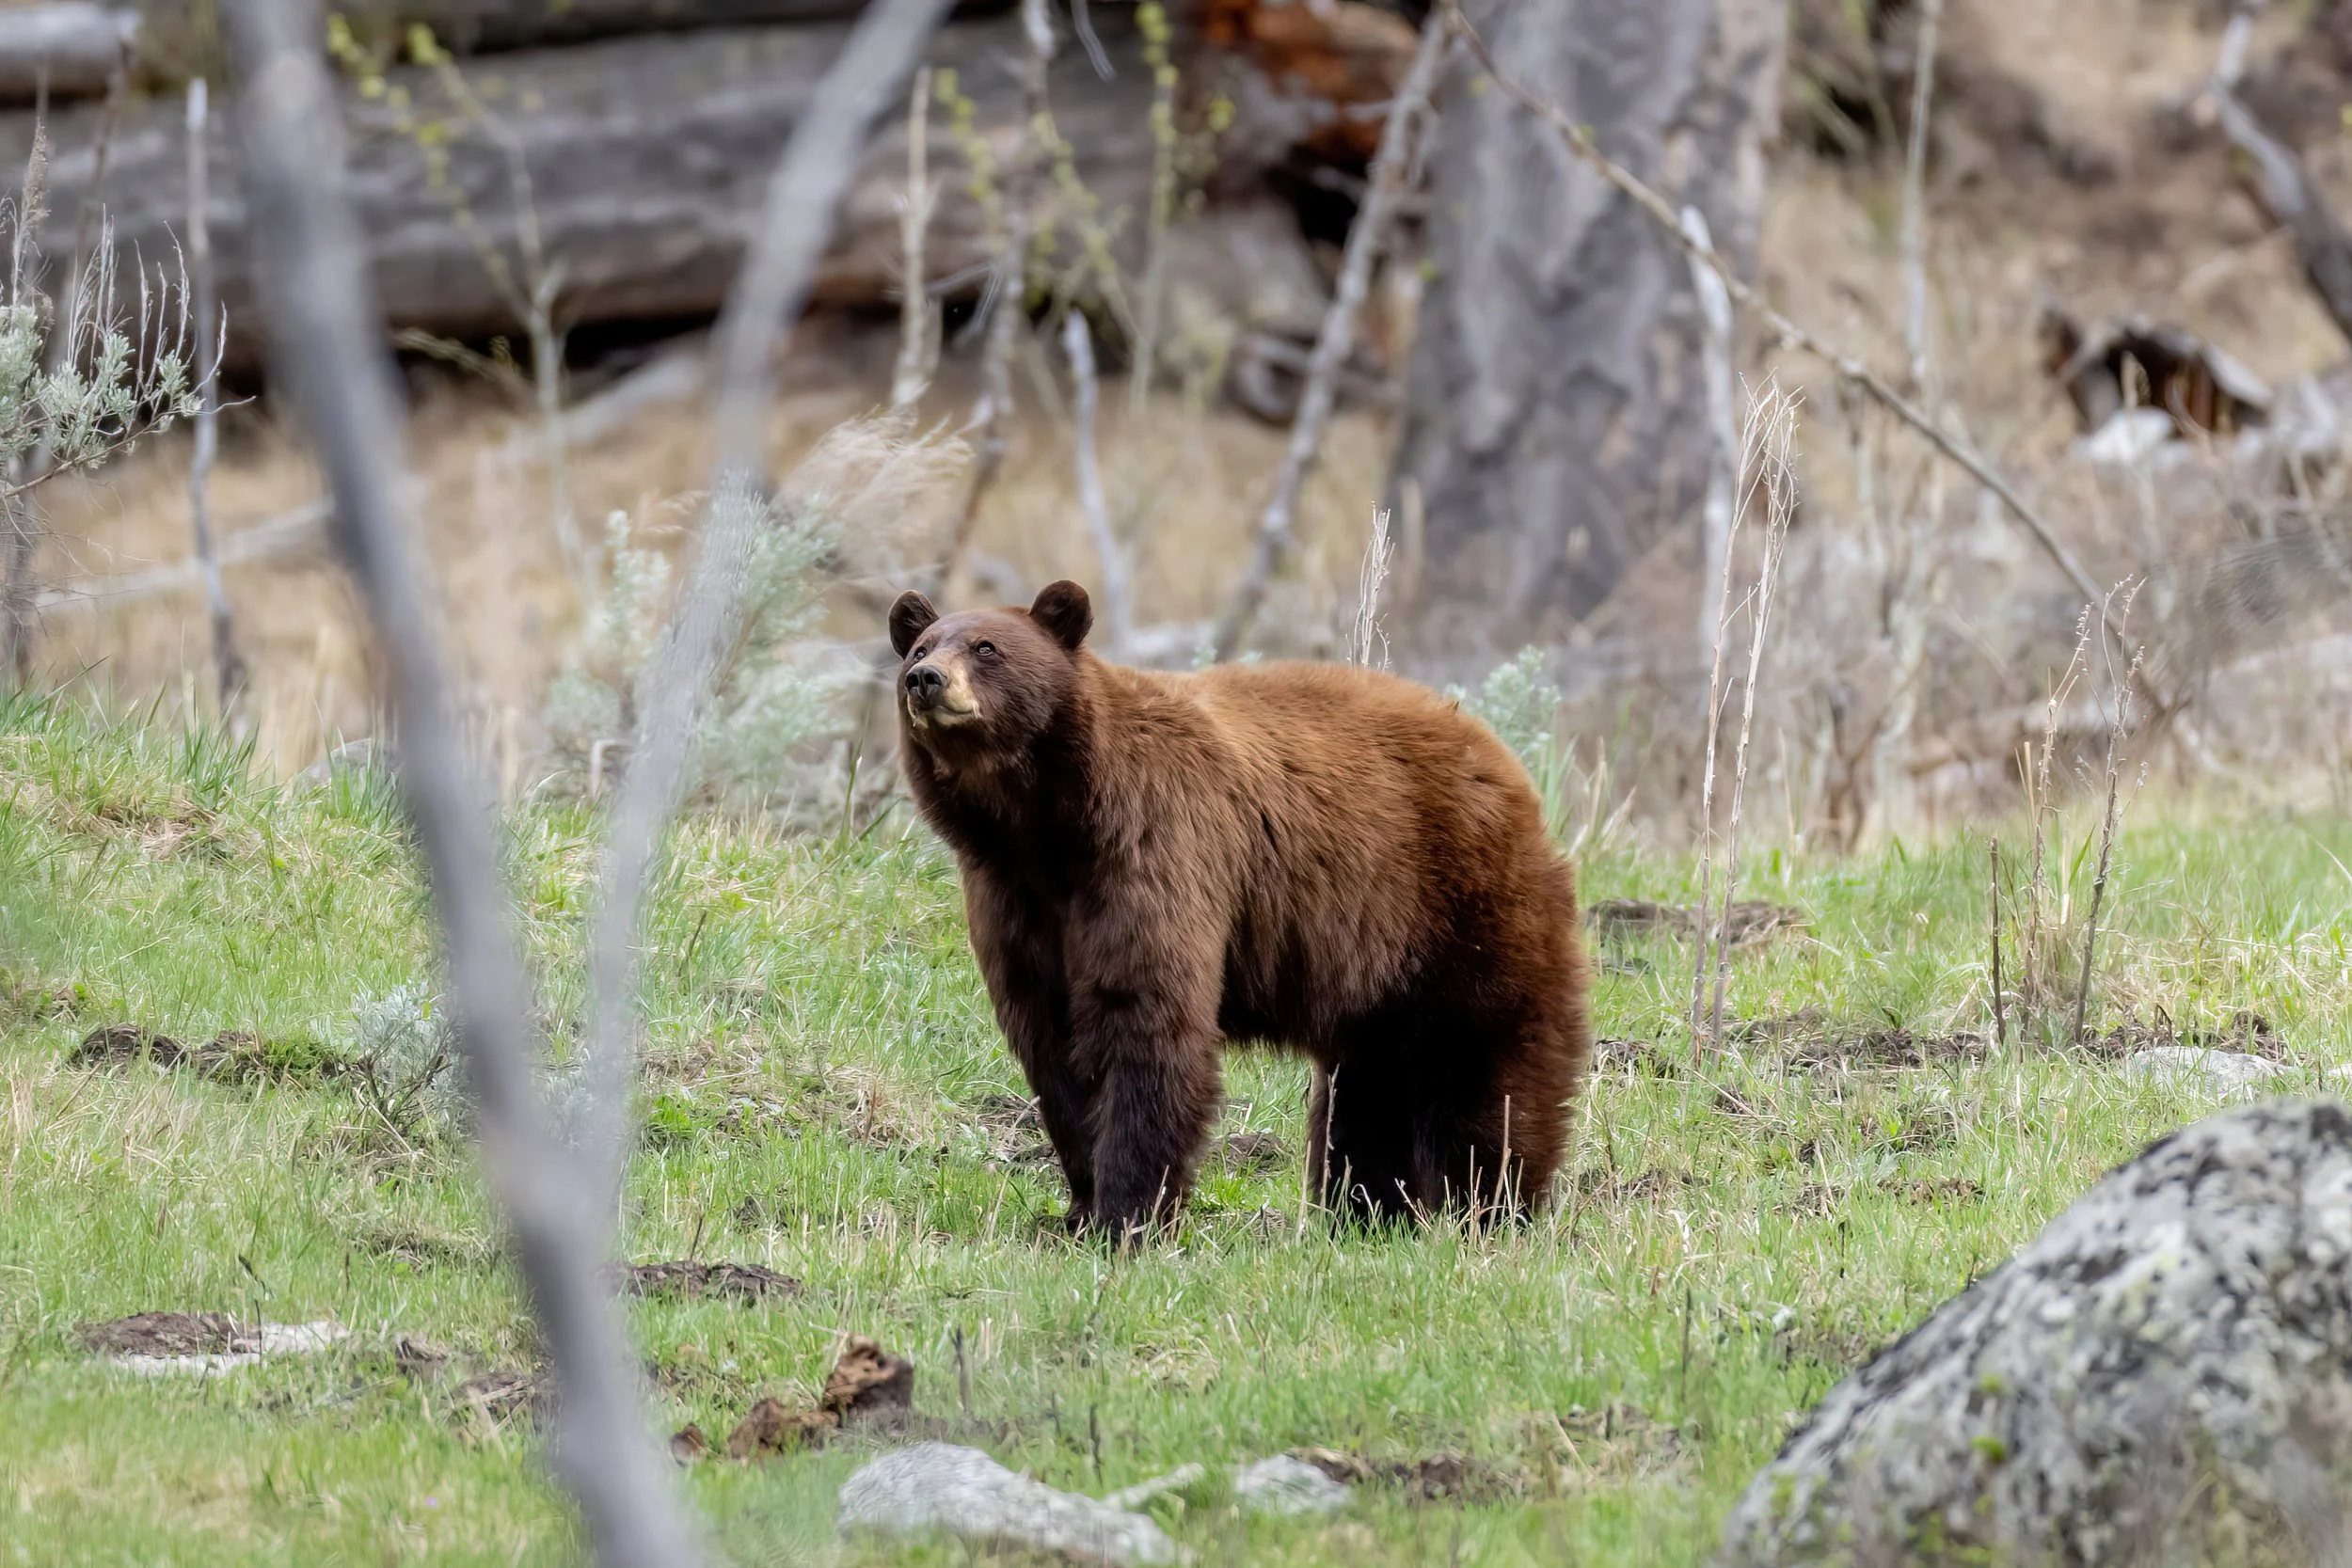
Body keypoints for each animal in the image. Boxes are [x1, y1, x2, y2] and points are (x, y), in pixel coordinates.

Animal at [889, 579, 1590, 1239]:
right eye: (921, 647)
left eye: (987, 647)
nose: (925, 680)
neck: (1046, 828)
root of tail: (1500, 757)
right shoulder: (1014, 900)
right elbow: (1052, 1043)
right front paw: (1081, 1208)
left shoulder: (1155, 850)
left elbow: (1146, 1017)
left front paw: (1128, 1215)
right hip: (1380, 964)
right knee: (1371, 1084)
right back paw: (1366, 1212)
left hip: (1461, 906)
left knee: (1487, 1063)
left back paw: (1491, 1208)